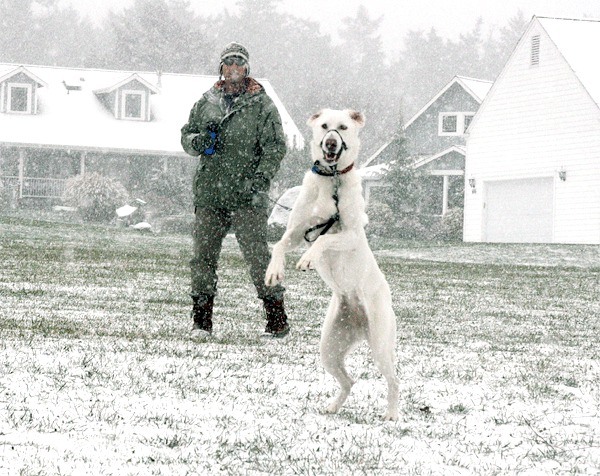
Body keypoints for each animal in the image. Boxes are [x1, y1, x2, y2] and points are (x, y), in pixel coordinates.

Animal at [266, 108, 398, 420]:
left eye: (343, 127)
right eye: (324, 126)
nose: (330, 143)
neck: (332, 180)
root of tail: (359, 323)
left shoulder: (349, 234)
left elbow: (325, 240)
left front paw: (308, 259)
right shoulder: (297, 230)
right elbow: (280, 244)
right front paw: (274, 271)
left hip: (380, 344)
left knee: (394, 380)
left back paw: (392, 414)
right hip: (329, 347)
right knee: (349, 381)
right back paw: (333, 406)